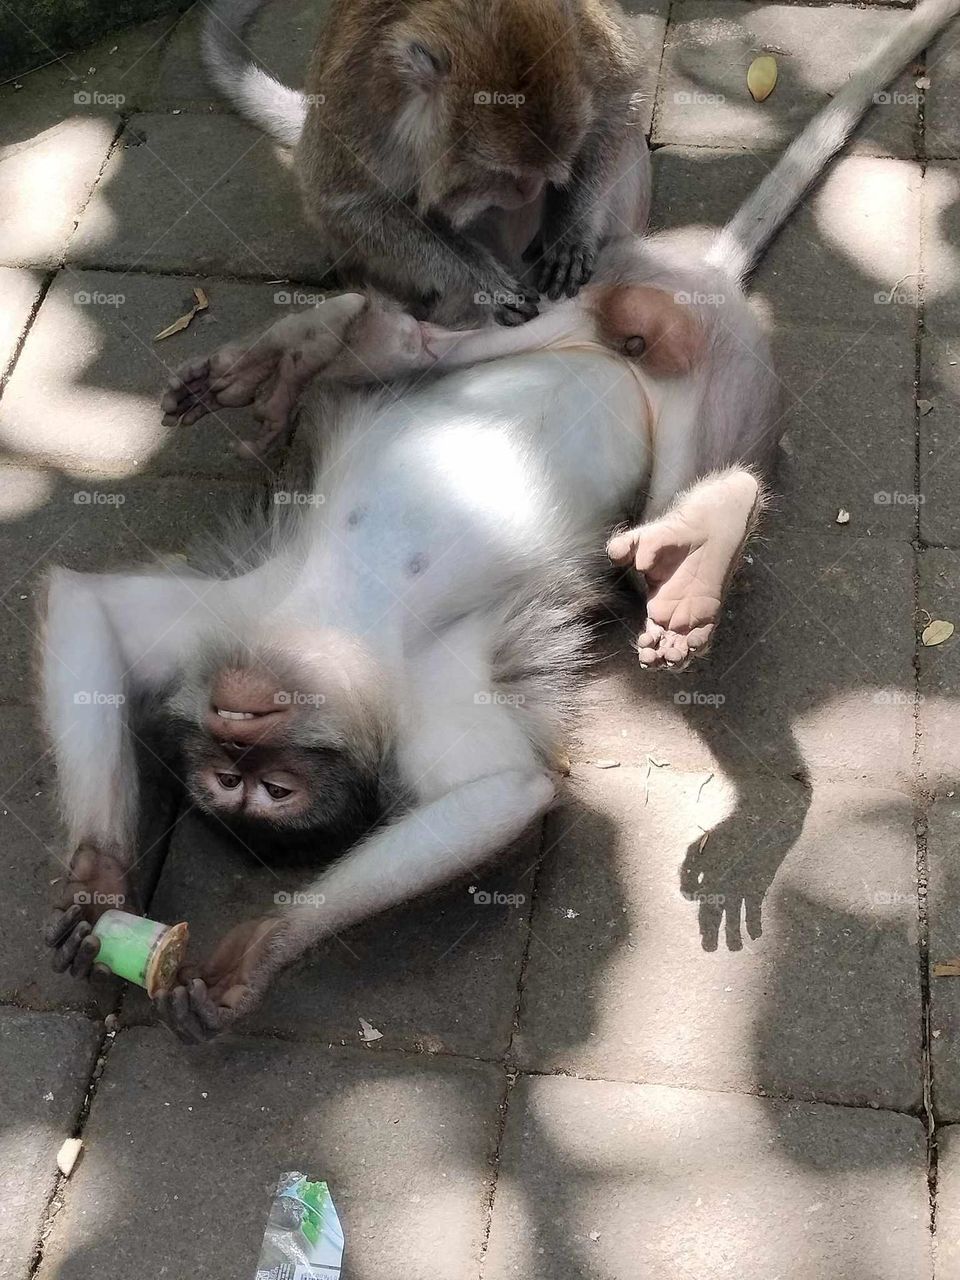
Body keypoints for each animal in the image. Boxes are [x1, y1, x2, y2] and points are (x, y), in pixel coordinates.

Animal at [201, 0, 652, 326]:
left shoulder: (588, 43)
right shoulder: (359, 106)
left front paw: (569, 232)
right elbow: (348, 205)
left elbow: (619, 102)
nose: (531, 191)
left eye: (548, 168)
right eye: (502, 174)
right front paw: (483, 282)